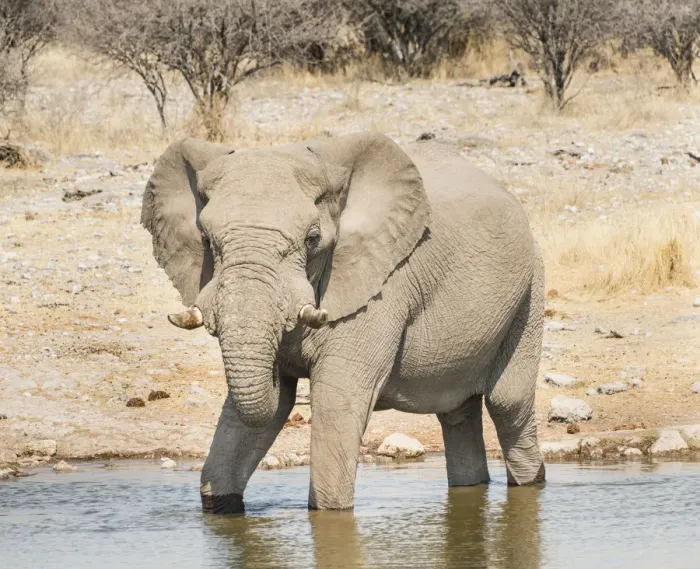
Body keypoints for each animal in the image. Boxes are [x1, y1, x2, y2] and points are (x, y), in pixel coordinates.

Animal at [141, 132, 545, 514]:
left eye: (312, 239)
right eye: (207, 240)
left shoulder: (382, 289)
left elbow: (337, 403)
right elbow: (263, 413)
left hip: (530, 287)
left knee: (507, 403)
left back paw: (532, 483)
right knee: (457, 413)